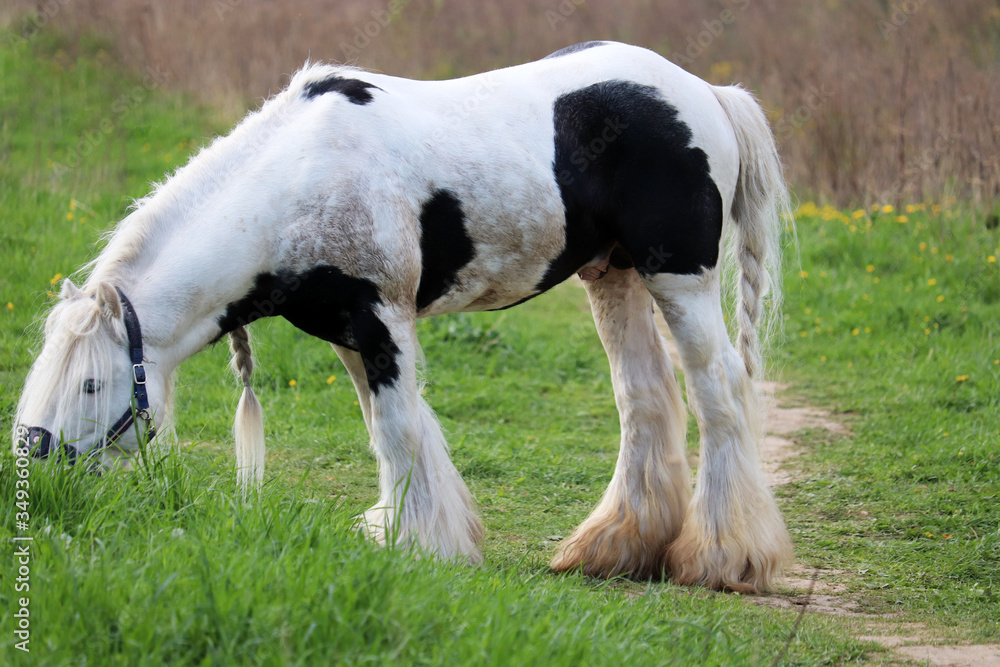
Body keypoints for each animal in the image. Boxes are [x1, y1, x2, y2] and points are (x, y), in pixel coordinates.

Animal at [13, 40, 793, 592]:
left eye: (90, 385)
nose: (33, 465)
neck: (300, 184)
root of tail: (709, 94)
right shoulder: (352, 334)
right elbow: (391, 429)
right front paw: (412, 530)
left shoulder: (383, 322)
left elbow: (395, 429)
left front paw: (417, 545)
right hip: (614, 275)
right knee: (645, 397)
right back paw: (614, 549)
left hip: (679, 279)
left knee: (720, 390)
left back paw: (724, 557)